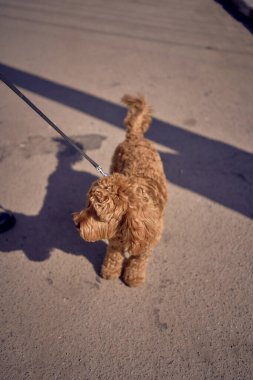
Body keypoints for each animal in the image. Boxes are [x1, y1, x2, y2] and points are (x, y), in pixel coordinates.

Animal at [72, 95, 168, 288]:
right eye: (88, 204)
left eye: (97, 213)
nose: (76, 223)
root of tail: (135, 136)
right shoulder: (115, 241)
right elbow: (114, 257)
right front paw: (110, 273)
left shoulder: (146, 245)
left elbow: (138, 261)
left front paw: (133, 277)